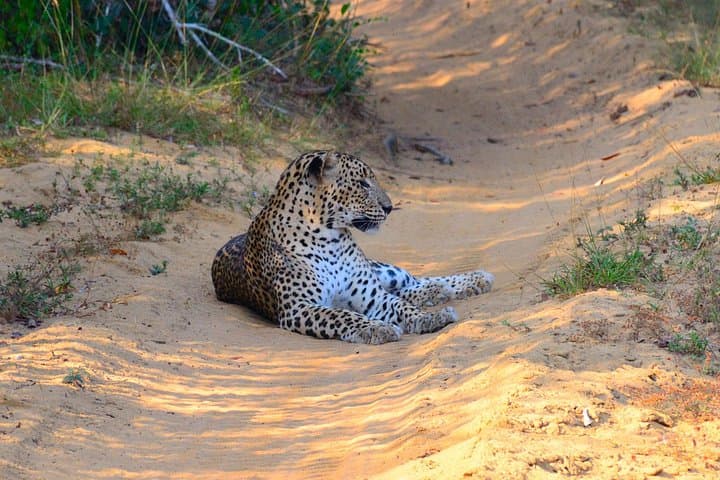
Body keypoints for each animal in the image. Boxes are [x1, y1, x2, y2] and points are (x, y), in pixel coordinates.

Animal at [211, 150, 494, 344]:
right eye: (362, 184)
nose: (390, 208)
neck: (328, 239)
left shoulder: (373, 296)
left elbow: (402, 306)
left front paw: (428, 318)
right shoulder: (299, 308)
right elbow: (342, 315)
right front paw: (377, 328)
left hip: (382, 269)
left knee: (410, 281)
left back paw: (469, 281)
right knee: (406, 289)